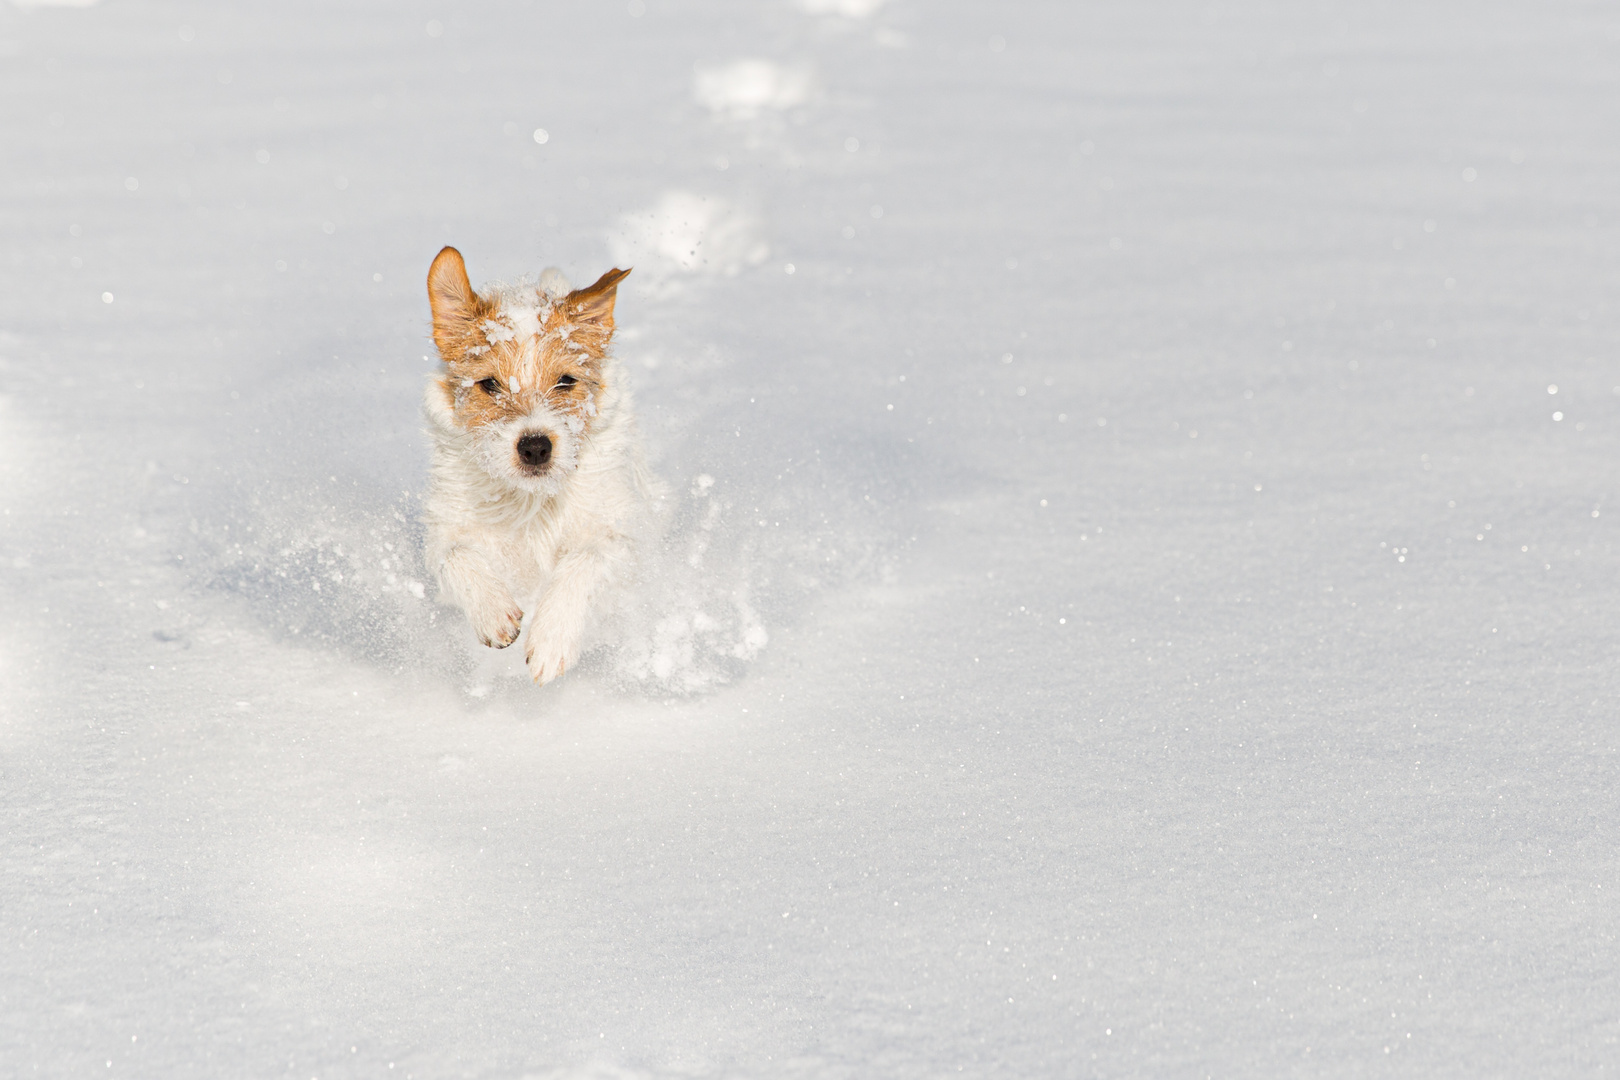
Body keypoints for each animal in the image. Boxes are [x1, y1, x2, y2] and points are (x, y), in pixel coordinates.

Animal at [421, 246, 654, 683]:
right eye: (489, 384)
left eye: (566, 381)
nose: (534, 447)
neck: (531, 501)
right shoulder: (446, 526)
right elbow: (455, 554)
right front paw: (493, 611)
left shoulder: (620, 534)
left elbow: (586, 559)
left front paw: (551, 640)